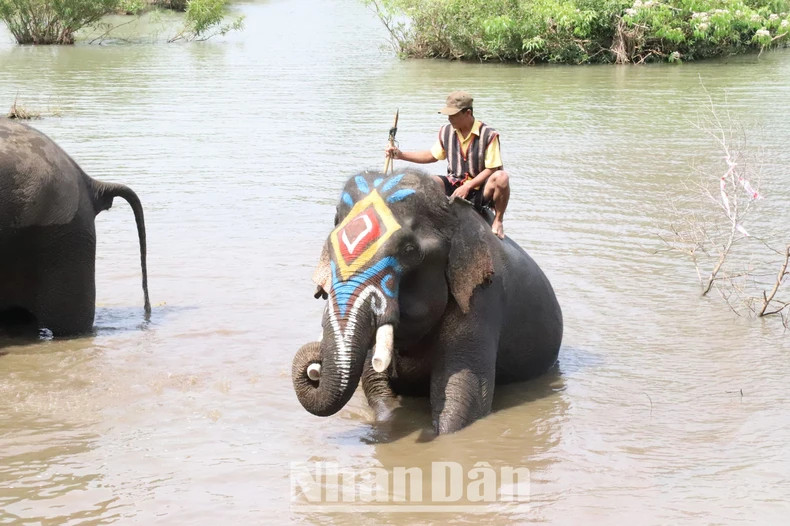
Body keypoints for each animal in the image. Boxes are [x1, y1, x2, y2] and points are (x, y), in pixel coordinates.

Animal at [292, 169, 562, 434]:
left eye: (409, 250)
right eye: (329, 245)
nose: (315, 366)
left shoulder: (481, 298)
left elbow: (462, 398)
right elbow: (374, 383)